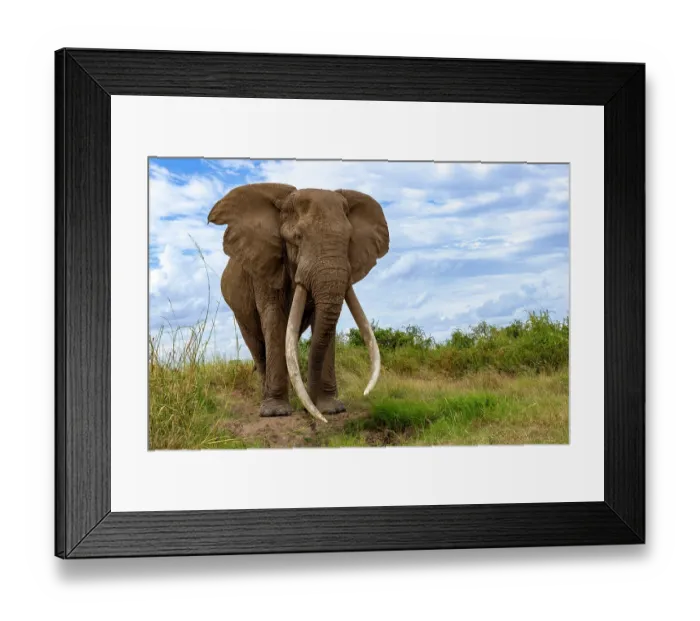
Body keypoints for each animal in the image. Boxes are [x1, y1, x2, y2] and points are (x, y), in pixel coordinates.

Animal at [207, 183, 389, 423]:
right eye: (298, 238)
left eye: (349, 239)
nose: (310, 411)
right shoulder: (264, 267)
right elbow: (274, 319)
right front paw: (276, 412)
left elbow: (322, 323)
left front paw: (331, 409)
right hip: (239, 310)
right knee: (258, 347)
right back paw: (266, 399)